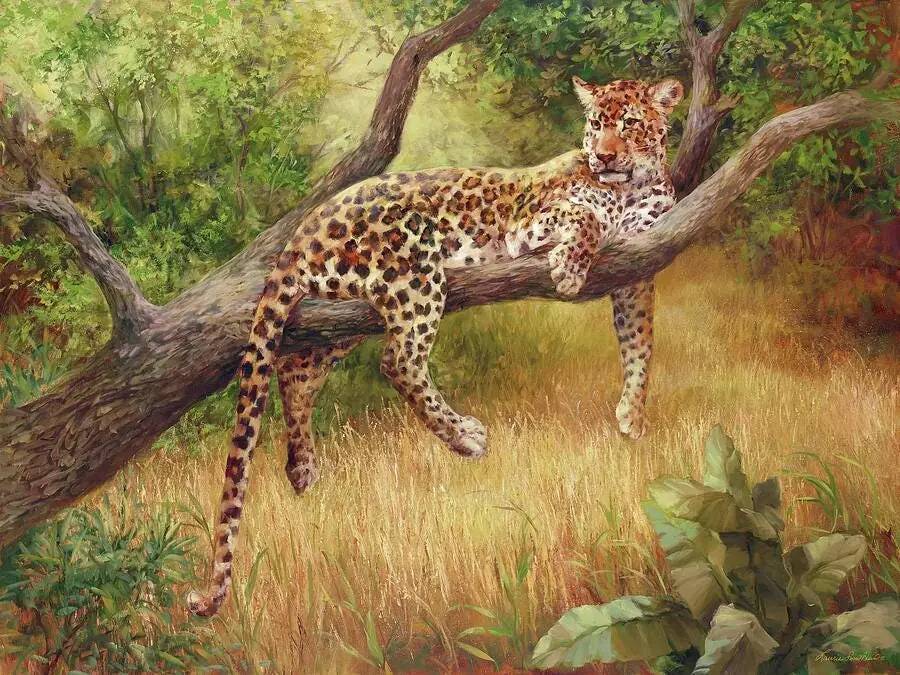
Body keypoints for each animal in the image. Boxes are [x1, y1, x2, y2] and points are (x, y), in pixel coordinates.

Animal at [187, 75, 684, 617]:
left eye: (629, 124)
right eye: (596, 123)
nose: (603, 156)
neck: (634, 186)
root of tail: (304, 227)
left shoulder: (640, 264)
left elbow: (640, 340)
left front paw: (632, 413)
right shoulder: (529, 224)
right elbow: (584, 217)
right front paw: (570, 268)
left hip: (341, 314)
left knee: (297, 371)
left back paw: (302, 467)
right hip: (416, 270)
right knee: (398, 360)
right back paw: (463, 437)